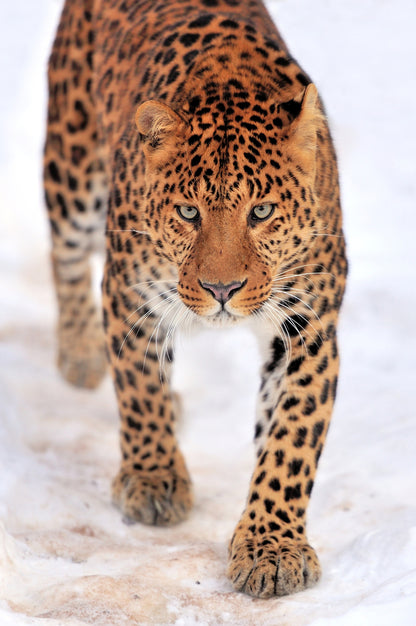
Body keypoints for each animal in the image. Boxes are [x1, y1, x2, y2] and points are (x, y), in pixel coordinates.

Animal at [44, 0, 348, 596]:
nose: (221, 290)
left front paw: (272, 546)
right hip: (72, 171)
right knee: (65, 255)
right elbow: (141, 390)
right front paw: (154, 479)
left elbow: (291, 438)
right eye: (189, 212)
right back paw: (82, 353)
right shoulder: (130, 295)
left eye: (261, 212)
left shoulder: (310, 325)